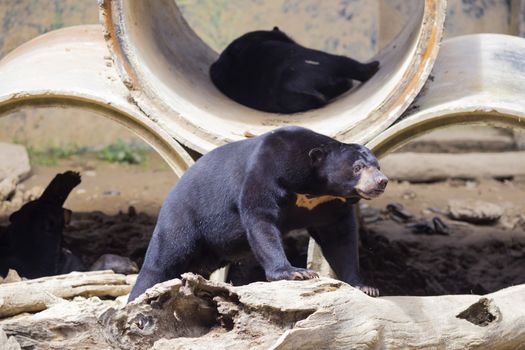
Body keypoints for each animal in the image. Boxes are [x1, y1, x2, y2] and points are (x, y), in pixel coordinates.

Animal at [129, 127, 386, 302]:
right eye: (357, 168)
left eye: (377, 166)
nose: (382, 182)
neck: (315, 187)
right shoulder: (269, 170)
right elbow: (261, 219)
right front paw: (297, 273)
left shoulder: (328, 205)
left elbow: (339, 238)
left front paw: (365, 287)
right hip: (183, 219)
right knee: (161, 262)